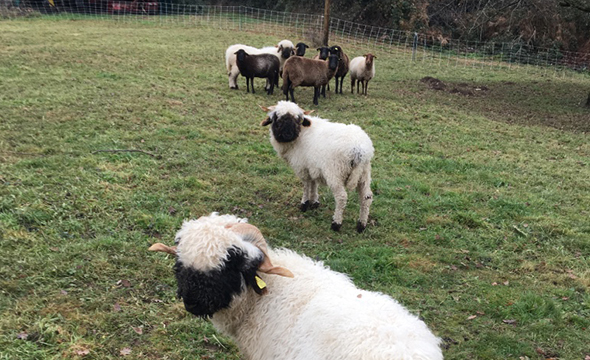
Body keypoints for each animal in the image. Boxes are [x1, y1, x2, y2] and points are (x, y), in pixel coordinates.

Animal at [262, 100, 374, 233]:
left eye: (297, 120)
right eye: (277, 119)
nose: (289, 134)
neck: (300, 135)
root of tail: (359, 150)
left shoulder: (302, 168)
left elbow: (306, 185)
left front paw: (304, 204)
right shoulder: (312, 167)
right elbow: (313, 183)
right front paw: (314, 202)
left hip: (335, 172)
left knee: (341, 197)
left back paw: (336, 223)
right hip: (364, 173)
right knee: (366, 197)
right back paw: (361, 225)